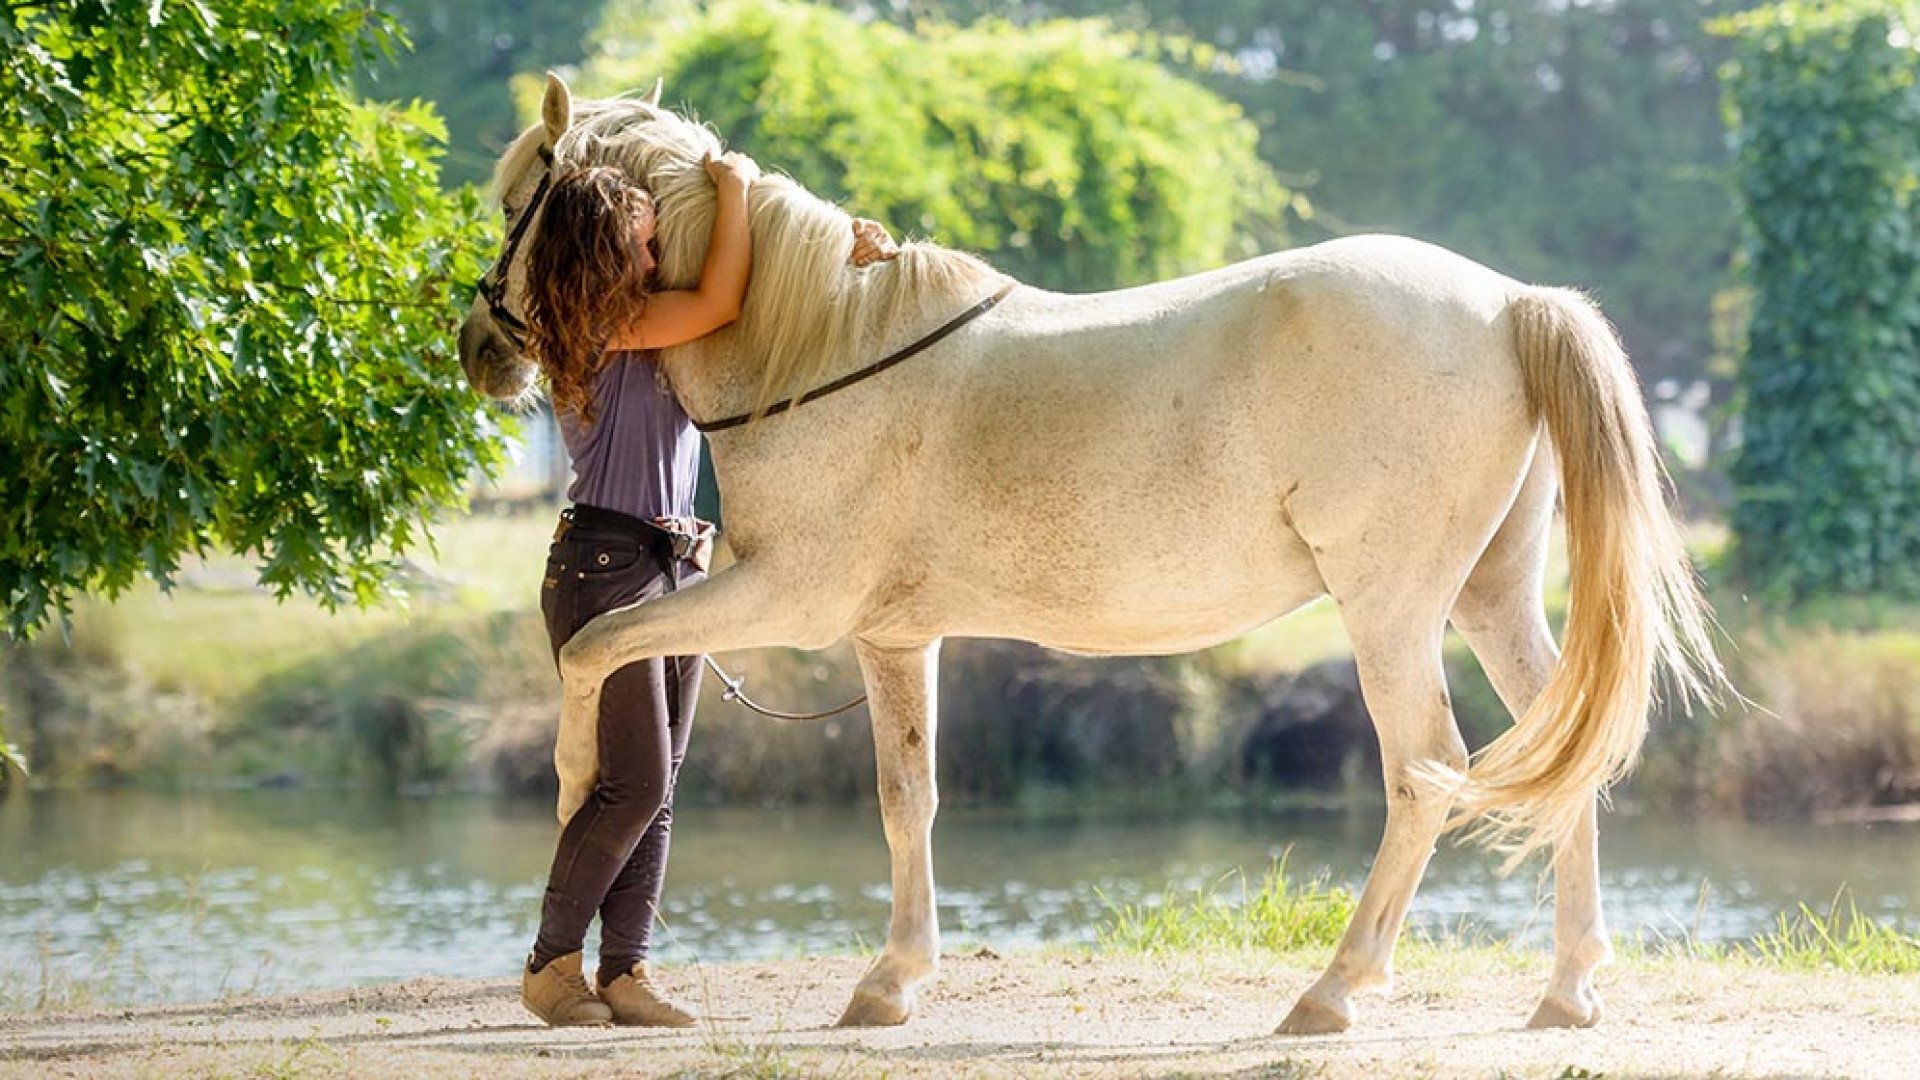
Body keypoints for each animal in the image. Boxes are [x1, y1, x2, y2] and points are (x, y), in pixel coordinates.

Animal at [460, 75, 1728, 1037]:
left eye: (522, 197)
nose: (479, 345)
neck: (819, 348)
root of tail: (1509, 302)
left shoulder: (786, 598)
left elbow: (596, 650)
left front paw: (570, 794)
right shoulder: (893, 638)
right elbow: (907, 799)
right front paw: (892, 983)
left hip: (1389, 612)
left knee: (1424, 770)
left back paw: (1333, 992)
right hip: (1489, 598)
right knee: (1562, 753)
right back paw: (1566, 991)